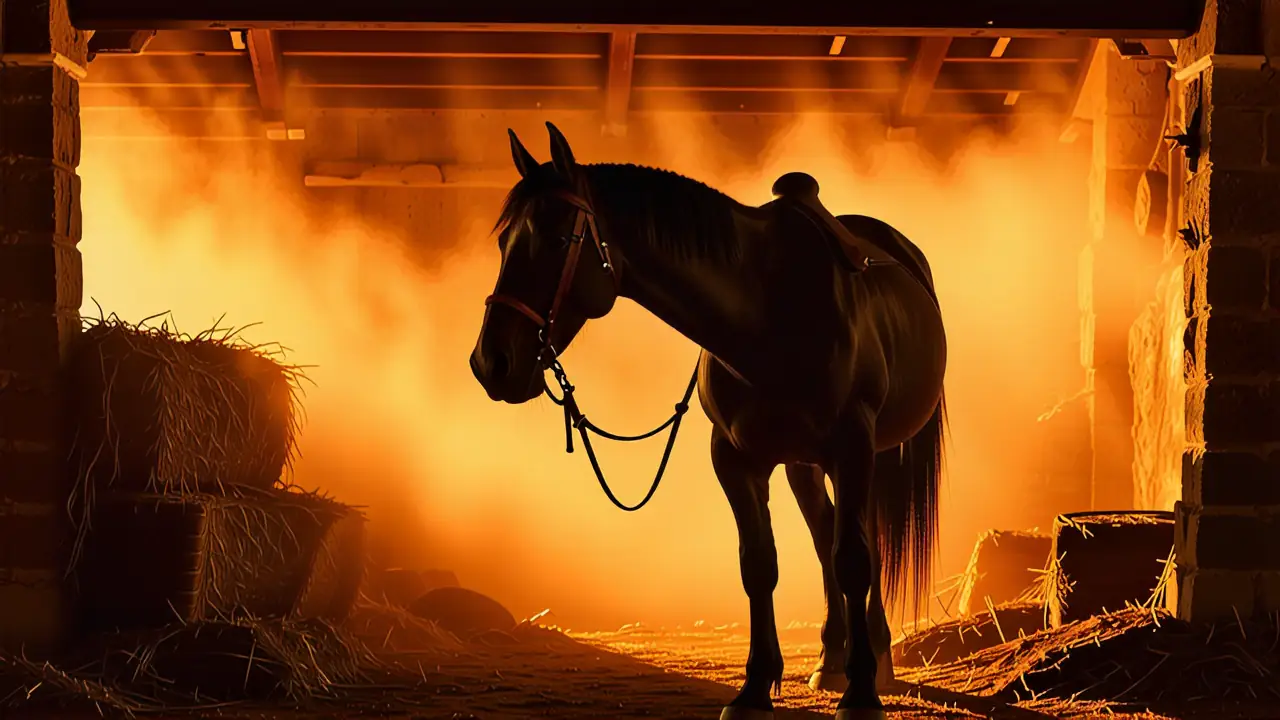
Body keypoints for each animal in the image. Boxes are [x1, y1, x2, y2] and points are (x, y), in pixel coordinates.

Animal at [469, 122, 947, 720]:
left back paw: (872, 661)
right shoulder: (736, 459)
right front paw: (754, 688)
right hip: (802, 464)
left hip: (866, 457)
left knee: (859, 544)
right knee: (824, 537)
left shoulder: (853, 448)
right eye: (504, 244)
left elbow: (854, 558)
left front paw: (861, 696)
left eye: (557, 241)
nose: (491, 363)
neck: (767, 310)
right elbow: (759, 565)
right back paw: (833, 659)